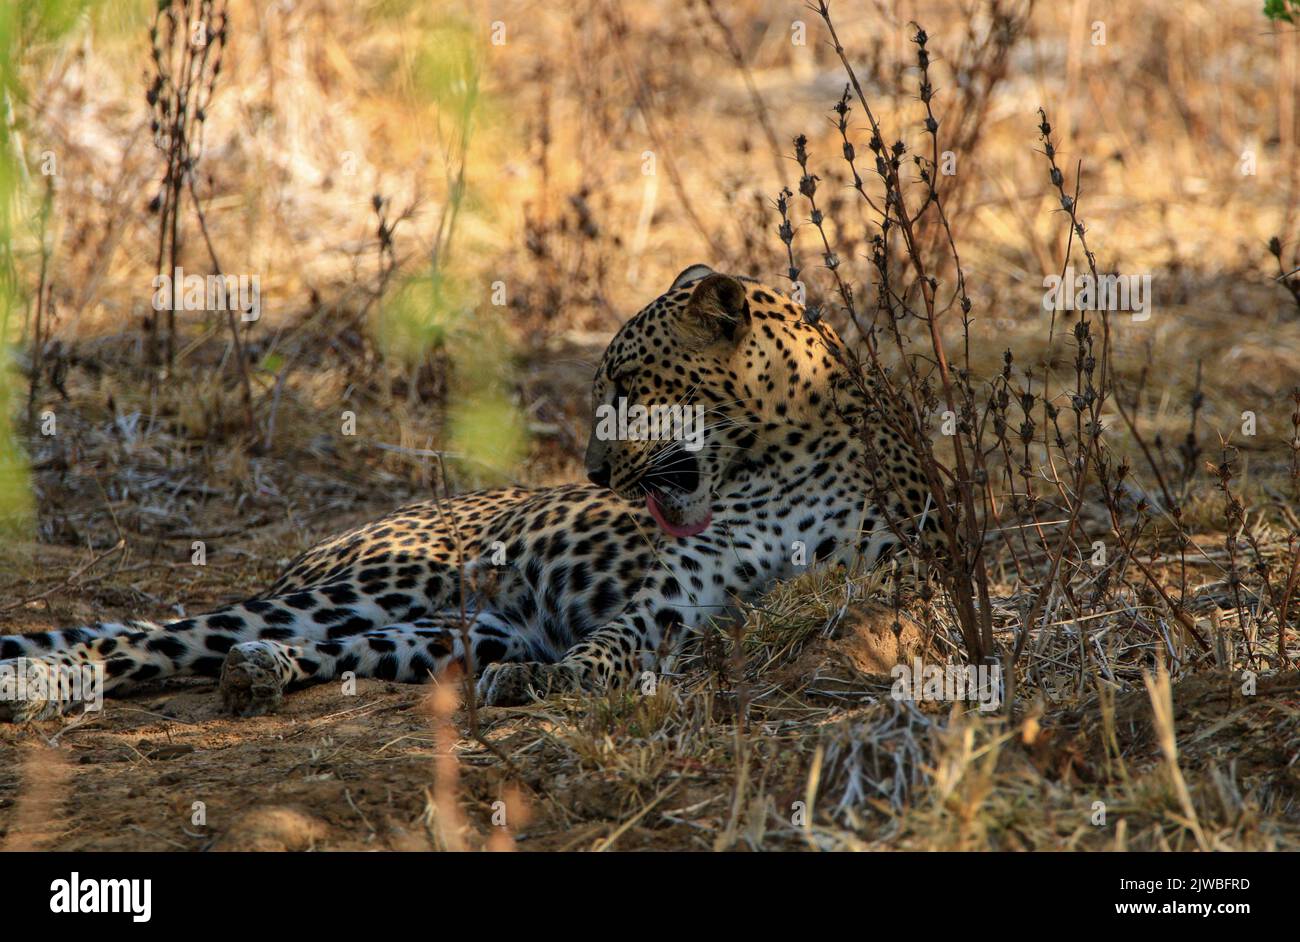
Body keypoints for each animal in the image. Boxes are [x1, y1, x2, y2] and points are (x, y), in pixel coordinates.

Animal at [0, 265, 935, 722]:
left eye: (628, 388)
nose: (594, 472)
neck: (775, 455)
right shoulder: (674, 596)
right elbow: (613, 643)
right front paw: (563, 679)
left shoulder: (890, 566)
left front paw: (542, 682)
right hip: (378, 586)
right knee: (149, 638)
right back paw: (40, 681)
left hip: (449, 630)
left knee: (306, 650)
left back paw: (257, 673)